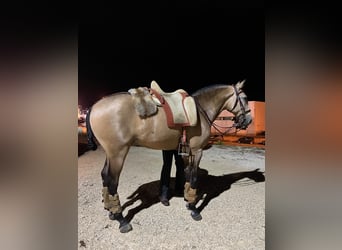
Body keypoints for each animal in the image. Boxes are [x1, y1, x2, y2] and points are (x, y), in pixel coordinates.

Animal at [85, 79, 251, 232]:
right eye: (245, 98)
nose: (248, 121)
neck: (200, 110)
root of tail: (94, 107)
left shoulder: (187, 152)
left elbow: (187, 175)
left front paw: (187, 200)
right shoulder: (197, 151)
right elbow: (194, 178)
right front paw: (194, 209)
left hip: (110, 153)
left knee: (104, 176)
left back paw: (111, 211)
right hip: (118, 153)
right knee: (112, 182)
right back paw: (121, 220)